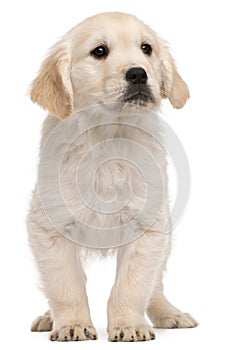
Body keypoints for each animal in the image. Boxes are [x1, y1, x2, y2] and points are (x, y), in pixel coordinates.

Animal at [28, 12, 198, 340]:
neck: (109, 135)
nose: (139, 74)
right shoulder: (50, 228)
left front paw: (129, 325)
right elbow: (65, 286)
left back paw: (168, 314)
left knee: (155, 287)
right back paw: (48, 317)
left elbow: (131, 287)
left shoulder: (147, 228)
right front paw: (73, 324)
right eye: (99, 51)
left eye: (146, 48)